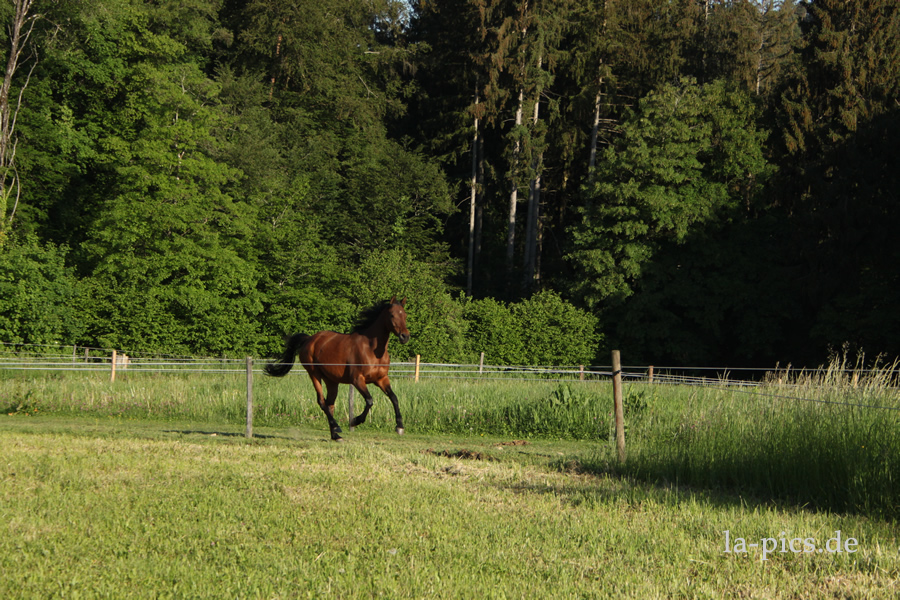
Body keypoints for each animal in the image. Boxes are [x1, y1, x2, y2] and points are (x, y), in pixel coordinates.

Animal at [264, 296, 412, 440]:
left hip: (331, 381)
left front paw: (399, 427)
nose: (405, 336)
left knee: (330, 404)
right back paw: (337, 427)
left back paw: (335, 435)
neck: (372, 349)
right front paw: (355, 421)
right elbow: (370, 401)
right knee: (322, 402)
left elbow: (394, 398)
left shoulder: (381, 379)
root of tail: (309, 339)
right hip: (314, 374)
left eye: (405, 315)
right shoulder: (357, 380)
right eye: (392, 315)